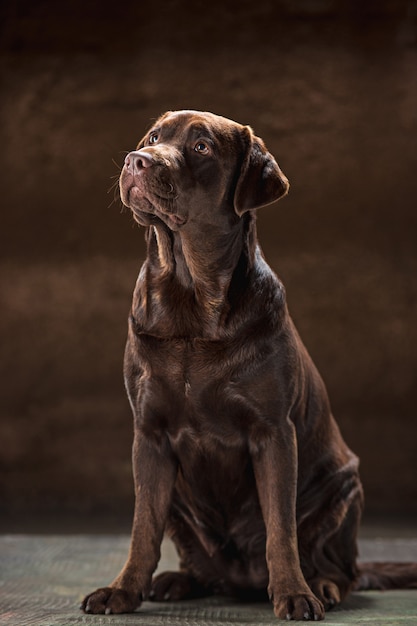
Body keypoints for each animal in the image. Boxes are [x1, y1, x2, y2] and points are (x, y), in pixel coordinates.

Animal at [82, 109, 416, 616]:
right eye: (154, 137)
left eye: (201, 146)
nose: (137, 160)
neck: (192, 300)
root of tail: (241, 580)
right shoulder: (150, 435)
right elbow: (143, 527)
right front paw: (122, 591)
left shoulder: (273, 432)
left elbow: (281, 527)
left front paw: (295, 594)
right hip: (183, 504)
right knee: (195, 556)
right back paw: (178, 581)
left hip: (342, 488)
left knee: (344, 567)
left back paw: (321, 585)